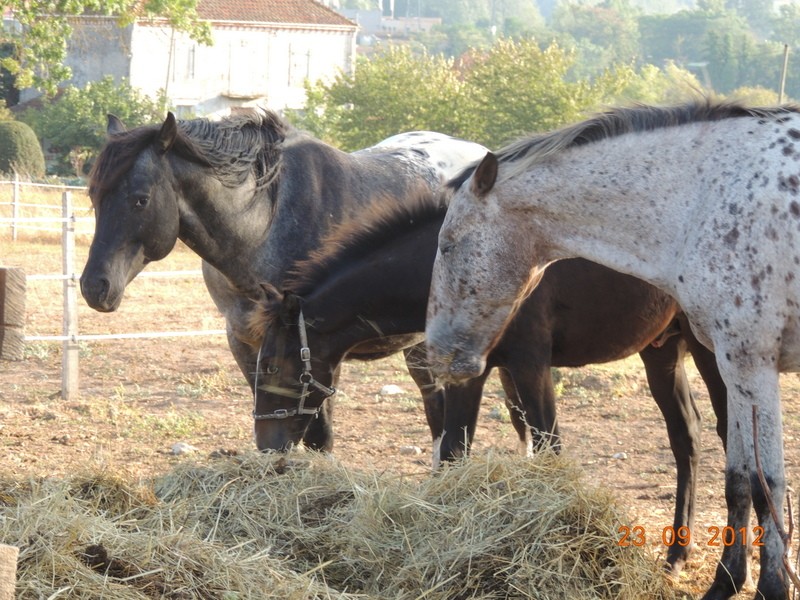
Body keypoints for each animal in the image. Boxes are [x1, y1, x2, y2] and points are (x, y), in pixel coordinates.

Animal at [428, 99, 800, 600]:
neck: (704, 196)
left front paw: (771, 588)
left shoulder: (751, 363)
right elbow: (739, 478)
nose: (438, 353)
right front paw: (726, 582)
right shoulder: (734, 363)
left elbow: (766, 484)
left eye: (448, 245)